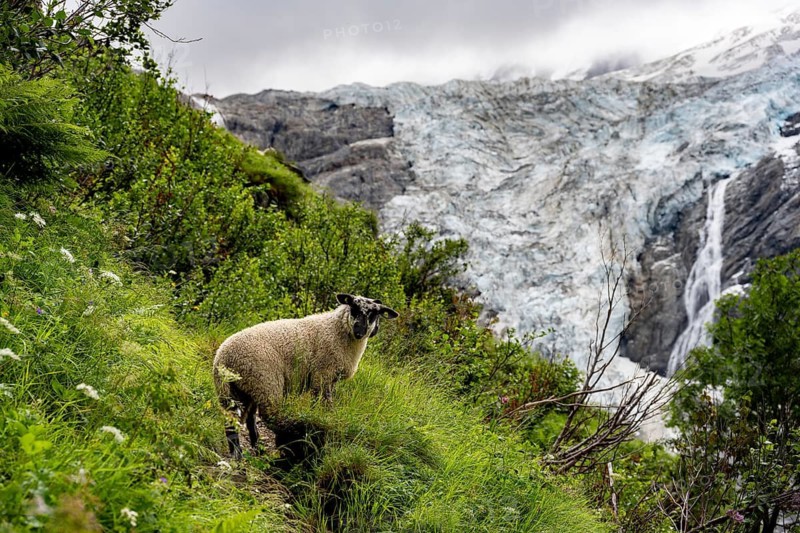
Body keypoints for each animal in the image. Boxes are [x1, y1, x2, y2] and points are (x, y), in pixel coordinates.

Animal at [213, 293, 398, 458]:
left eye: (374, 314)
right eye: (354, 308)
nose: (359, 332)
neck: (337, 329)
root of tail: (224, 357)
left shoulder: (328, 378)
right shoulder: (322, 373)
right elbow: (325, 402)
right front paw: (326, 420)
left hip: (237, 390)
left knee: (238, 420)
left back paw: (246, 451)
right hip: (265, 383)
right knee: (268, 417)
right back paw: (290, 437)